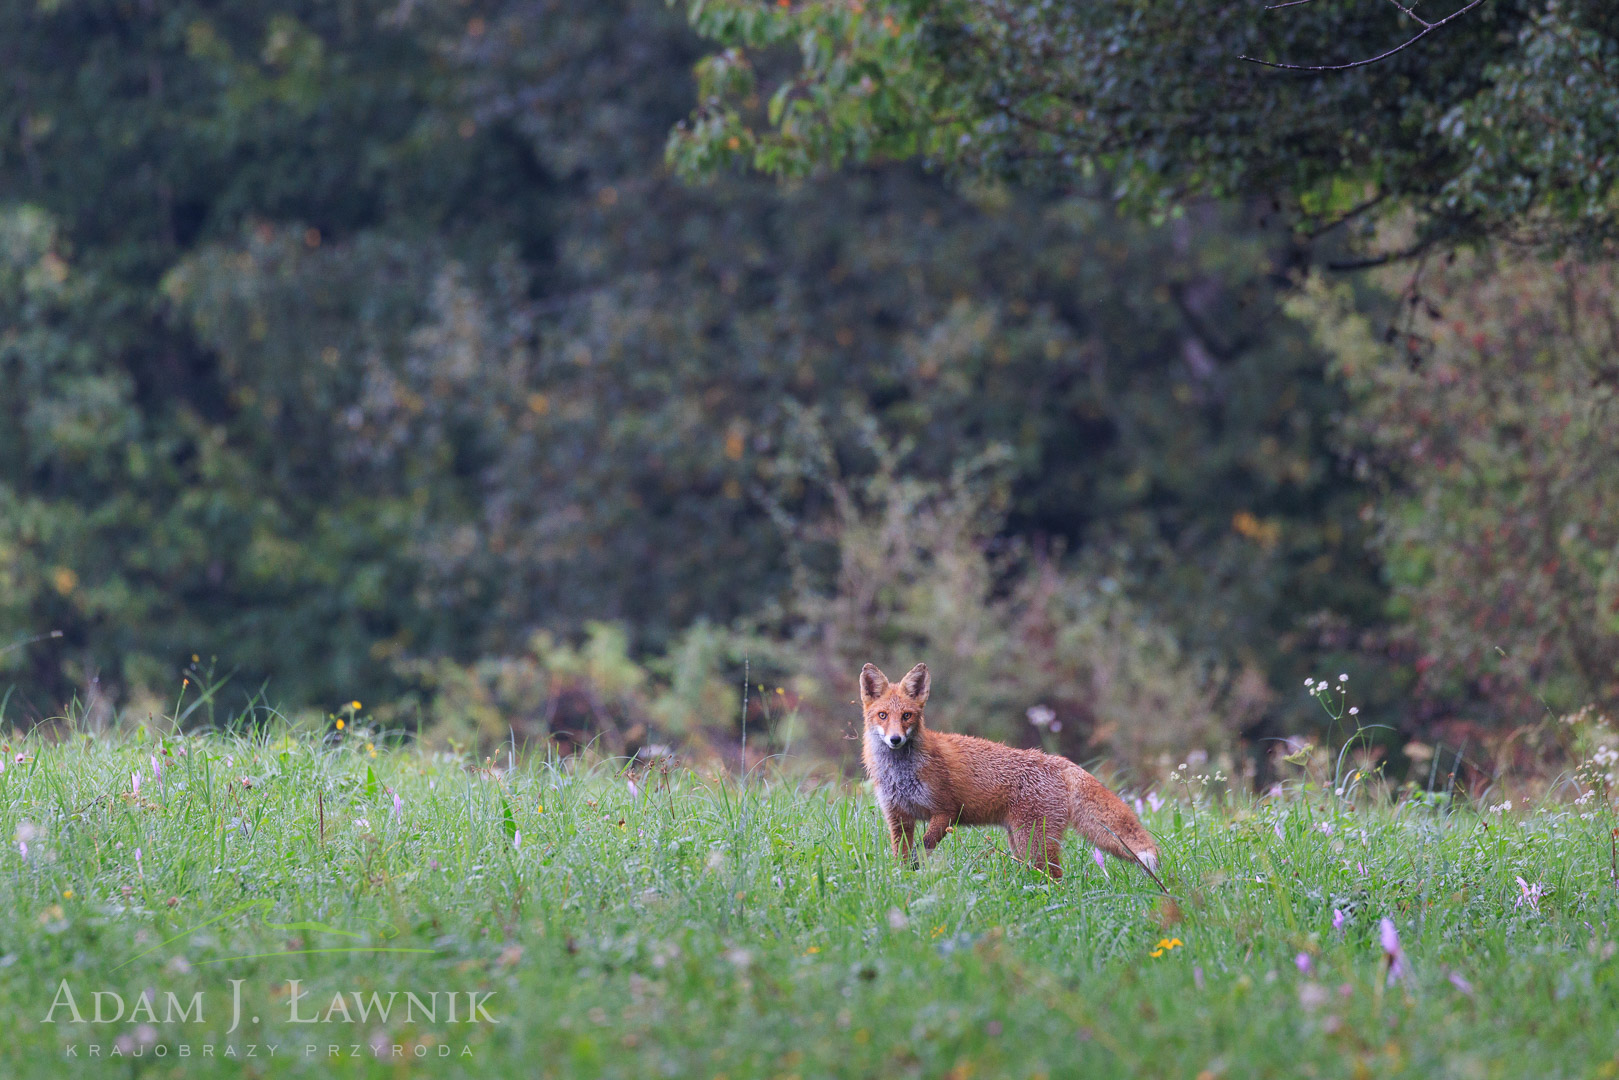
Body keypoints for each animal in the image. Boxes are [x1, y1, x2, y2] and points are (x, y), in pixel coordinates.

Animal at [854, 663, 1159, 880]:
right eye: (883, 716)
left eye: (907, 716)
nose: (895, 739)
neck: (901, 775)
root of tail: (1058, 761)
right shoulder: (898, 817)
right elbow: (901, 857)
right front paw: (903, 880)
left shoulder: (946, 810)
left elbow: (924, 845)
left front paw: (918, 866)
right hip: (1019, 842)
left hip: (1033, 842)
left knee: (1056, 876)